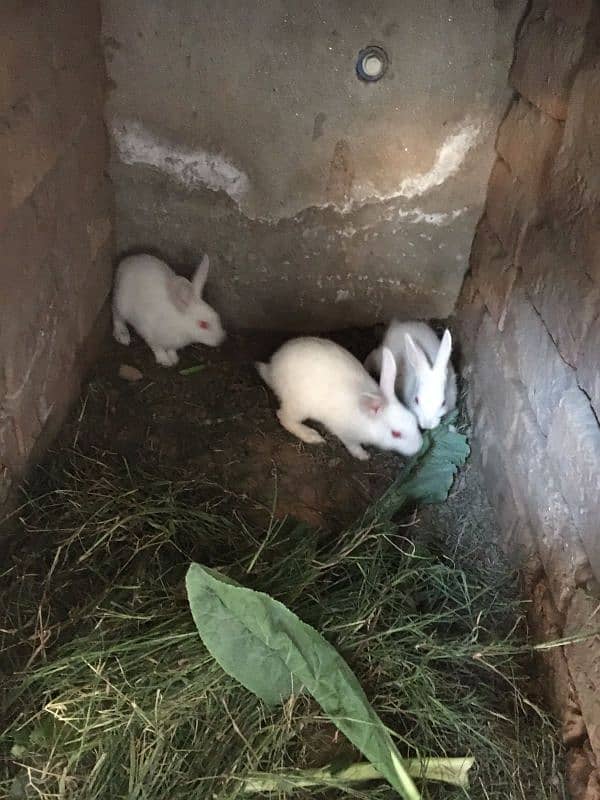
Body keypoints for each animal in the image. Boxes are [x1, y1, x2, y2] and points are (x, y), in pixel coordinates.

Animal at [256, 338, 422, 462]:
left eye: (414, 421)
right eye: (396, 434)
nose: (419, 447)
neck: (366, 420)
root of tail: (272, 370)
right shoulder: (346, 434)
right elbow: (353, 446)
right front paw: (363, 455)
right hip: (299, 405)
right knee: (283, 417)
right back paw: (312, 436)